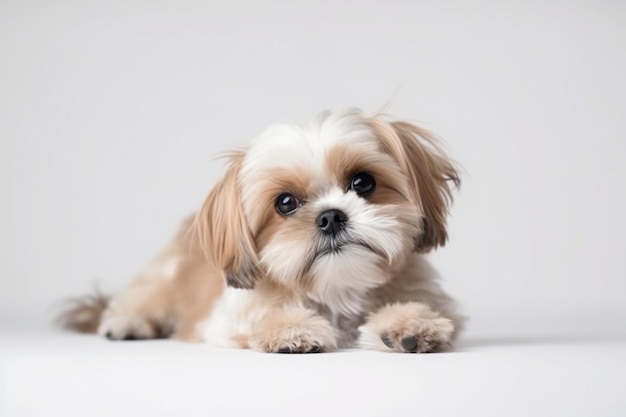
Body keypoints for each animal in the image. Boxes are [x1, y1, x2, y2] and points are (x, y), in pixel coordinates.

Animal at [61, 107, 460, 352]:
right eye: (285, 203)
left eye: (363, 182)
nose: (330, 216)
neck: (337, 289)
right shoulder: (227, 320)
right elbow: (261, 319)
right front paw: (292, 328)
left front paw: (409, 323)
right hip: (162, 278)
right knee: (142, 301)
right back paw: (128, 323)